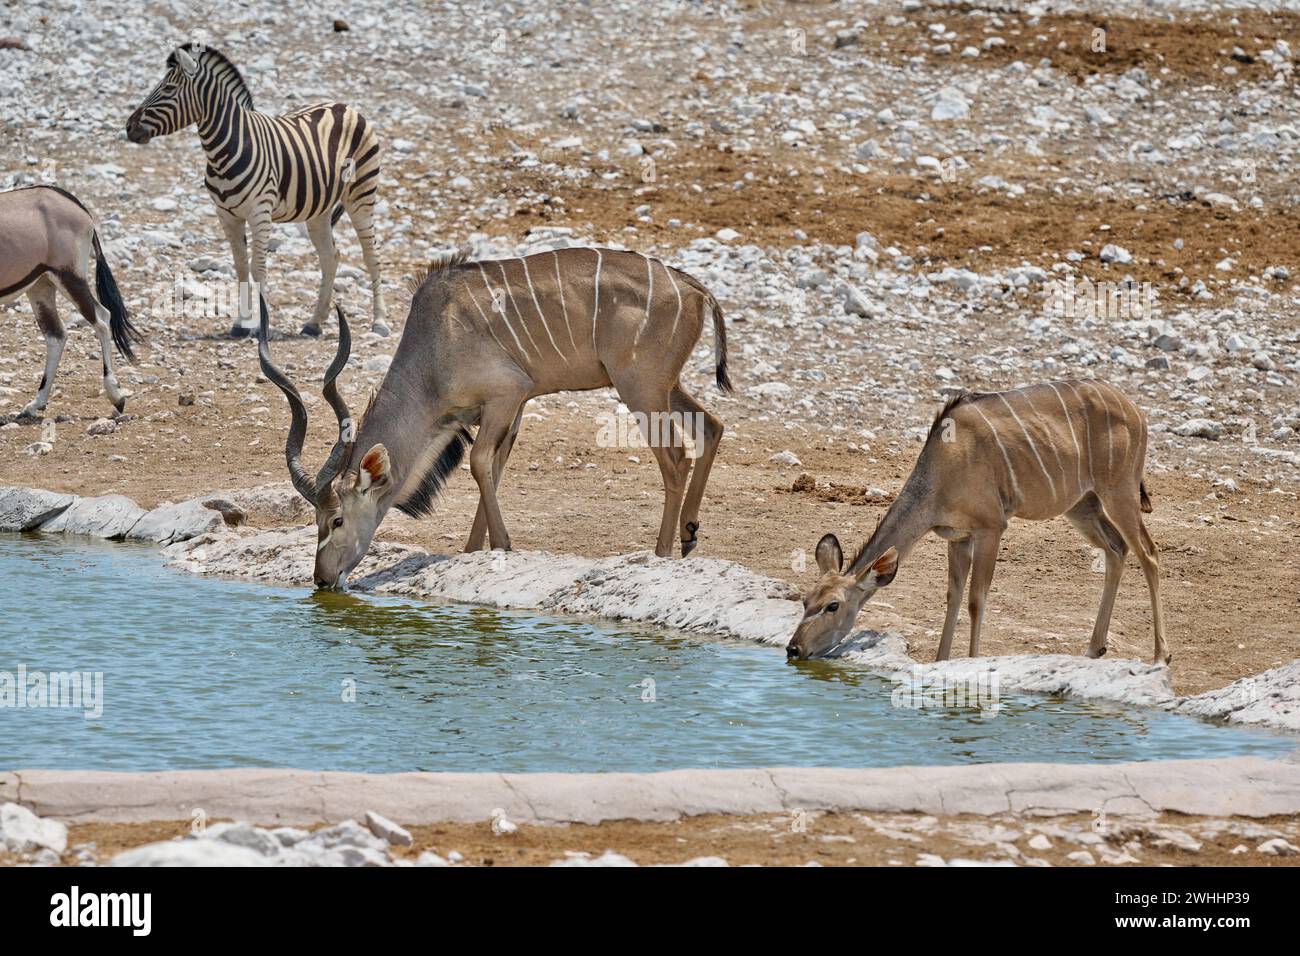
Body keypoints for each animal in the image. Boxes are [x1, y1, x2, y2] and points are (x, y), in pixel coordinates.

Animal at [126, 47, 390, 343]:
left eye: (169, 89)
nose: (128, 127)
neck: (225, 150)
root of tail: (344, 106)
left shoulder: (260, 212)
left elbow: (258, 268)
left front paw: (261, 326)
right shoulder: (226, 215)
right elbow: (241, 266)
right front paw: (242, 323)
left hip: (362, 194)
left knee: (371, 255)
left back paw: (379, 322)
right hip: (319, 209)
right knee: (330, 256)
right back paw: (314, 323)